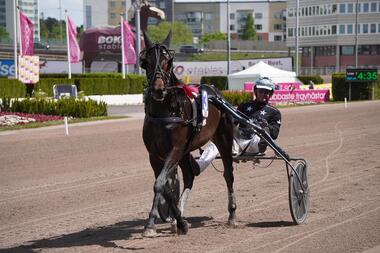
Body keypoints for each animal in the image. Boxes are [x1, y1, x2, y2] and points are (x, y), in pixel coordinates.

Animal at [142, 30, 238, 237]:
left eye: (168, 61)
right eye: (147, 62)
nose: (158, 90)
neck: (165, 113)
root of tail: (215, 91)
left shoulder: (175, 149)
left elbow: (160, 183)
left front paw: (150, 224)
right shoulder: (155, 155)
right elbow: (166, 186)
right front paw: (178, 221)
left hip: (223, 138)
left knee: (228, 174)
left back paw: (232, 215)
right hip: (186, 151)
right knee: (189, 176)